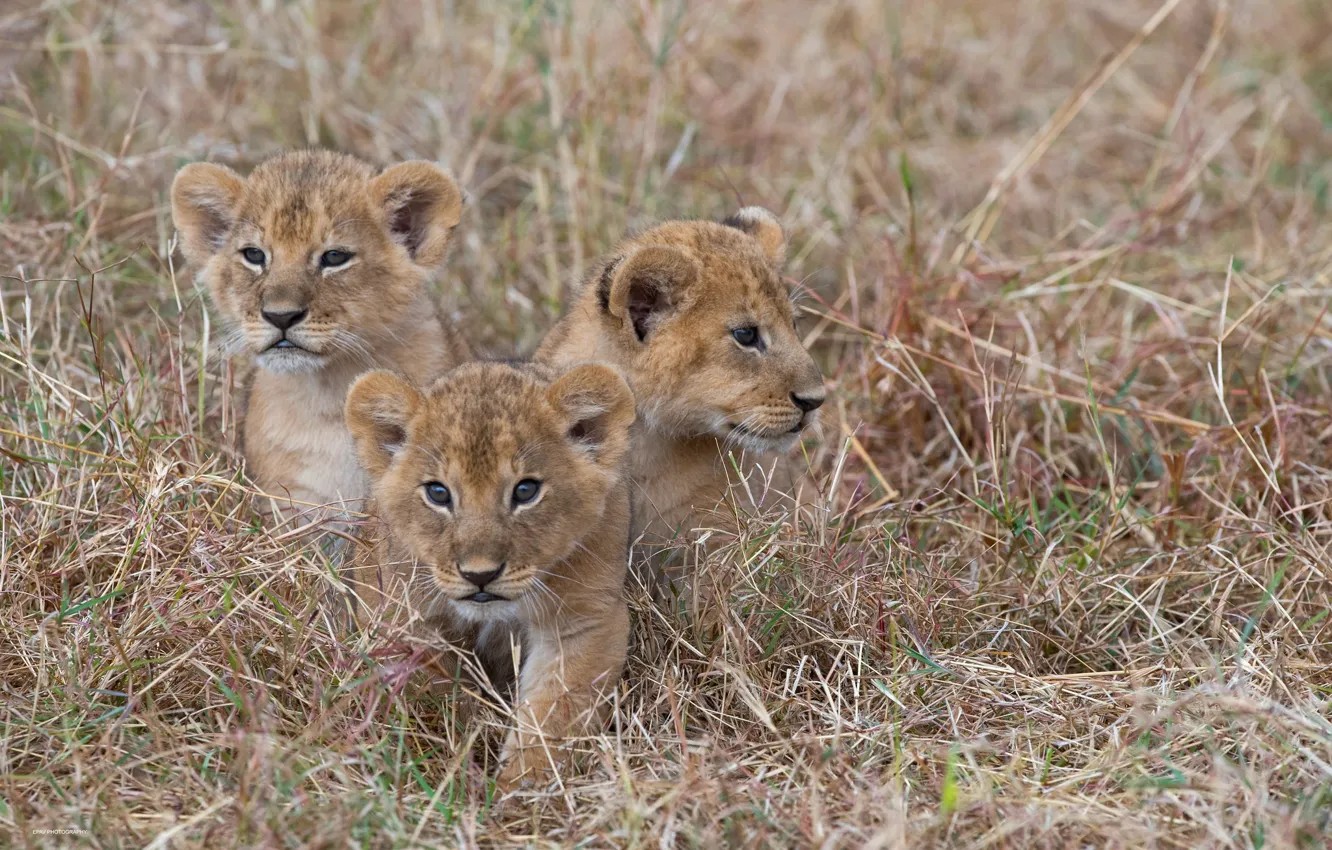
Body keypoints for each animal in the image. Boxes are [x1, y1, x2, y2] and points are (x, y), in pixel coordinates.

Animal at [344, 360, 636, 790]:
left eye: (526, 490)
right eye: (438, 493)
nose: (479, 575)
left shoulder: (584, 620)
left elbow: (555, 712)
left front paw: (524, 788)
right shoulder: (403, 619)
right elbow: (439, 692)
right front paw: (467, 743)